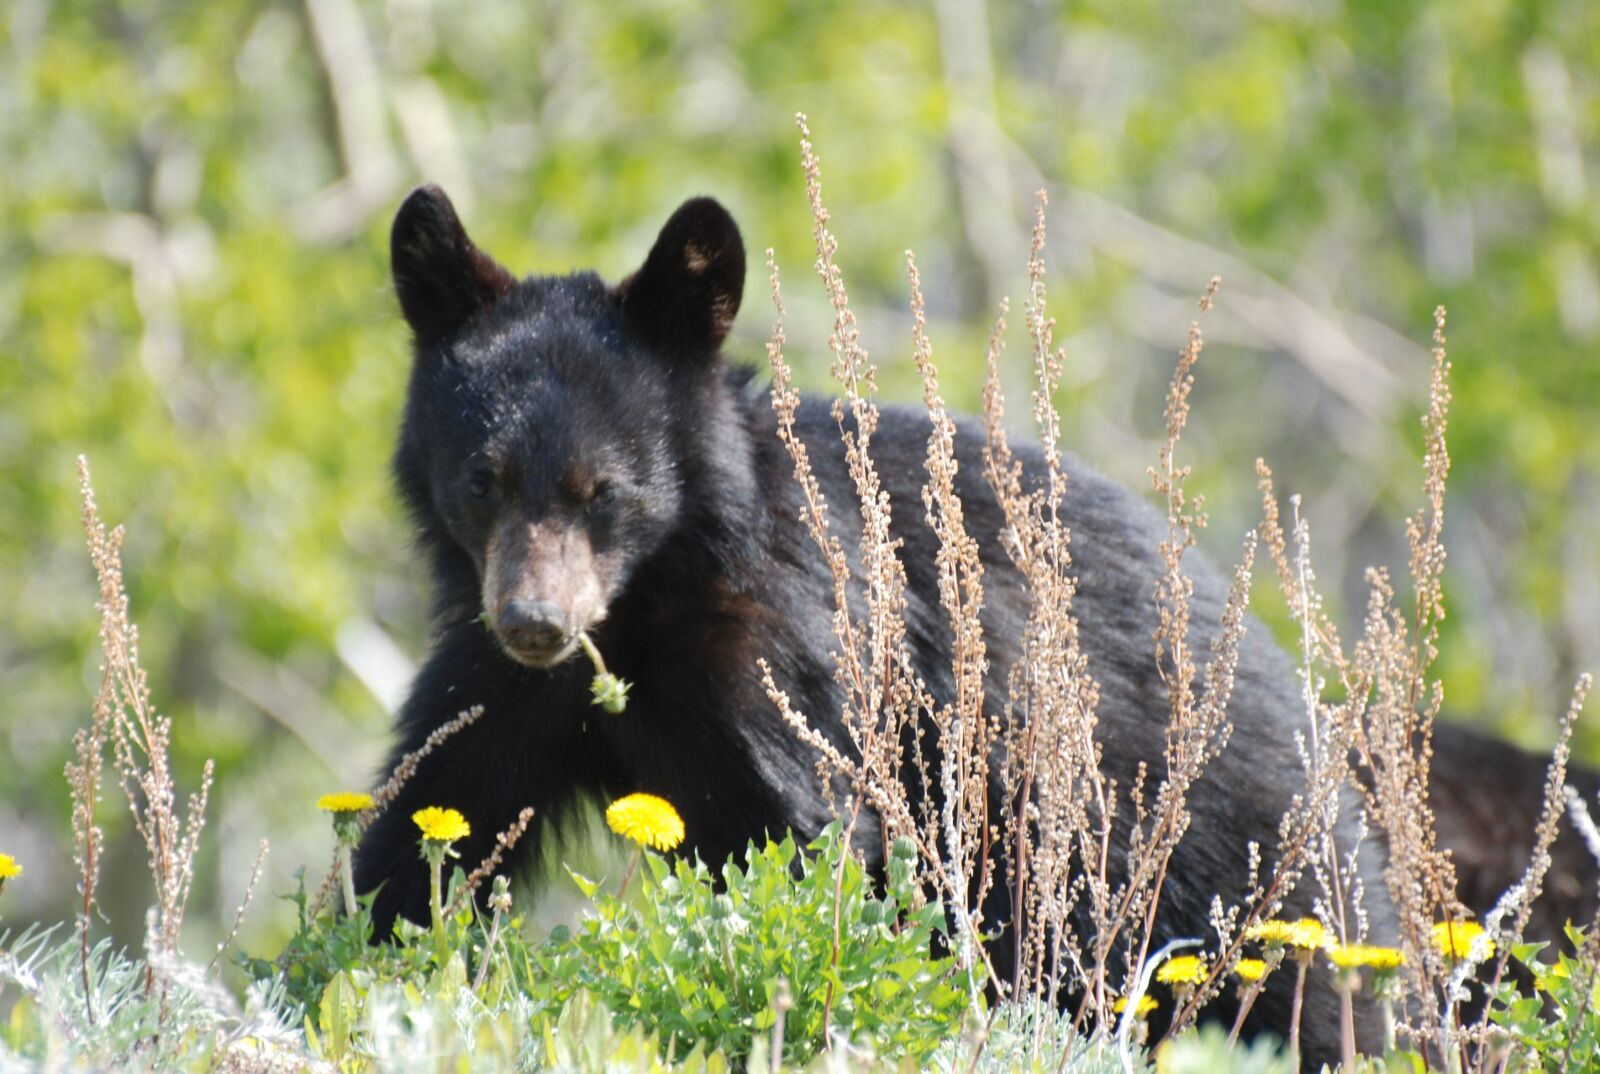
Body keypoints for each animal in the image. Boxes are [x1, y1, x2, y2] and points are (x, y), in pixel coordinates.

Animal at [353, 184, 1392, 1065]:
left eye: (602, 490)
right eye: (482, 480)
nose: (535, 619)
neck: (644, 605)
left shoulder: (795, 653)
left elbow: (814, 848)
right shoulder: (499, 685)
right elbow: (433, 816)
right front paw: (365, 952)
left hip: (1226, 861)